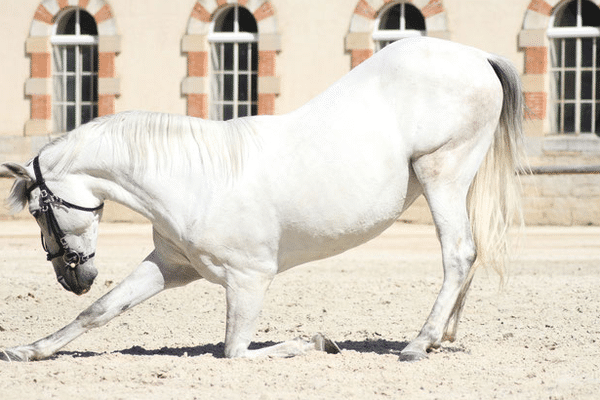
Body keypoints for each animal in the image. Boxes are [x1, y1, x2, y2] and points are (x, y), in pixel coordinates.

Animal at [1, 38, 524, 362]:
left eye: (39, 212)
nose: (74, 278)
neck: (193, 181)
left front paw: (315, 342)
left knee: (458, 253)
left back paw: (419, 343)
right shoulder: (171, 266)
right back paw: (440, 337)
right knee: (468, 255)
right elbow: (101, 311)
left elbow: (234, 350)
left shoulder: (249, 280)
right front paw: (27, 350)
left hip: (442, 173)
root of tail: (476, 55)